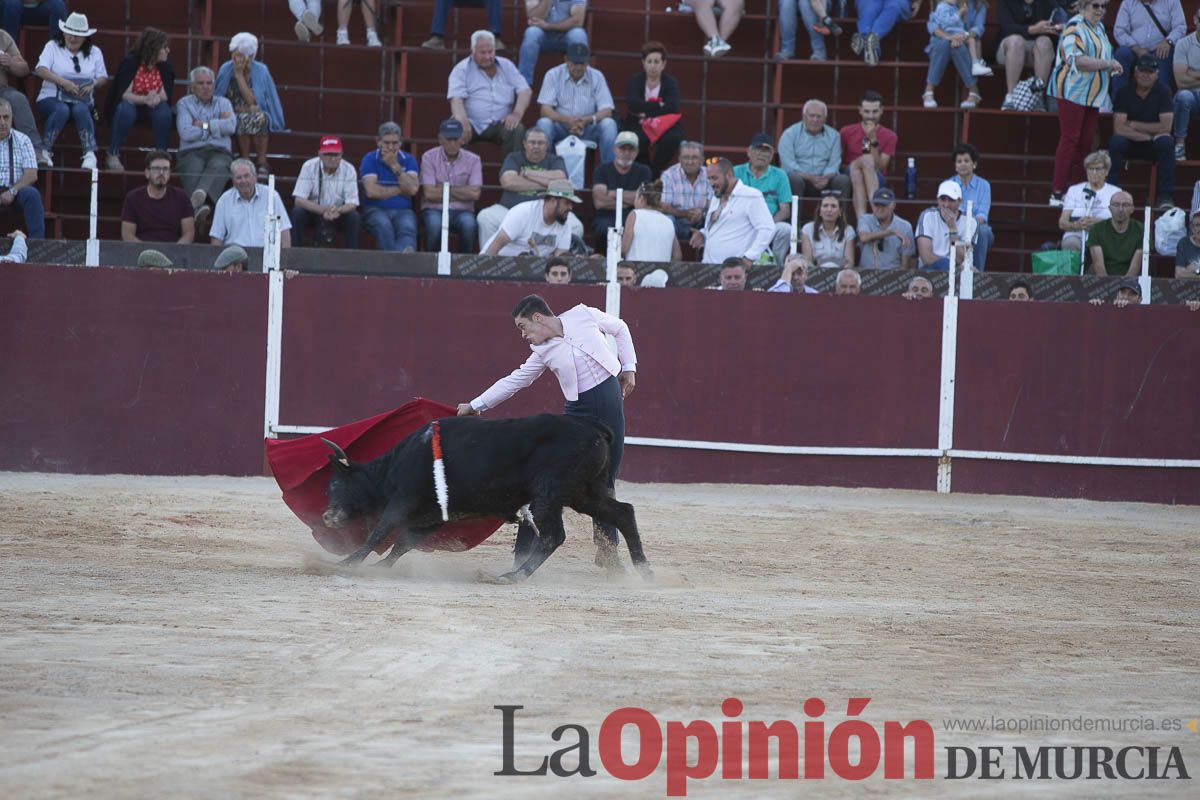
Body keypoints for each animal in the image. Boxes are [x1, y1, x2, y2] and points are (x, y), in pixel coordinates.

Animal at [319, 412, 652, 582]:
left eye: (335, 485)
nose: (327, 517)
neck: (399, 463)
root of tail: (594, 428)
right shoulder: (433, 517)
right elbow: (403, 543)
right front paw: (381, 568)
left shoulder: (403, 503)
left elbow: (379, 533)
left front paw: (348, 563)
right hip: (584, 494)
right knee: (623, 512)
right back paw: (644, 569)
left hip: (549, 494)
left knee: (553, 535)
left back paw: (514, 575)